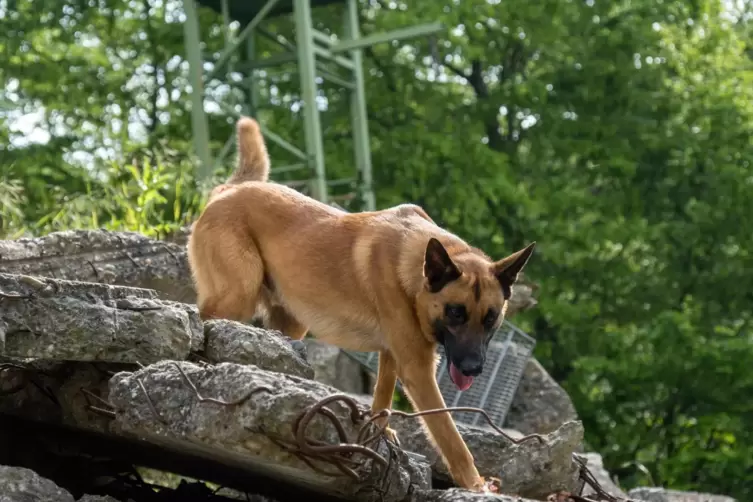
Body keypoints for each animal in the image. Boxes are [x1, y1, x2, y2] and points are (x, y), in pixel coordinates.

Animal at [187, 115, 536, 492]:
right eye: (455, 313)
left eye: (490, 319)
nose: (473, 369)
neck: (414, 265)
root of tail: (228, 191)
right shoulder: (418, 367)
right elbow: (449, 434)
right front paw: (474, 483)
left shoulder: (394, 353)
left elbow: (382, 396)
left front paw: (377, 434)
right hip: (238, 294)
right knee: (204, 317)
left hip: (290, 323)